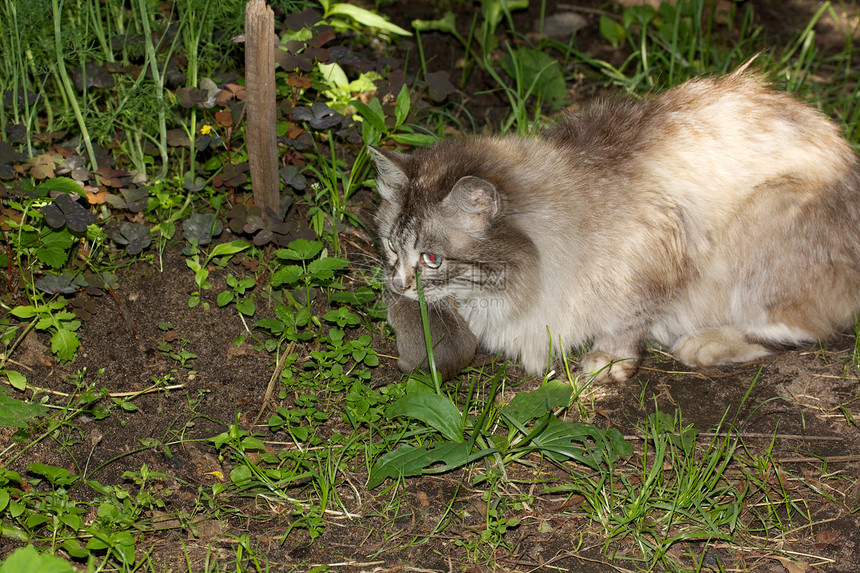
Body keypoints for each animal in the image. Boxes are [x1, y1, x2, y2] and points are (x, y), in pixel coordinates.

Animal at [372, 65, 860, 382]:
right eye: (392, 248)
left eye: (432, 259)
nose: (397, 286)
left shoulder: (660, 250)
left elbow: (627, 324)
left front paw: (607, 363)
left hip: (764, 224)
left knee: (803, 328)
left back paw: (703, 344)